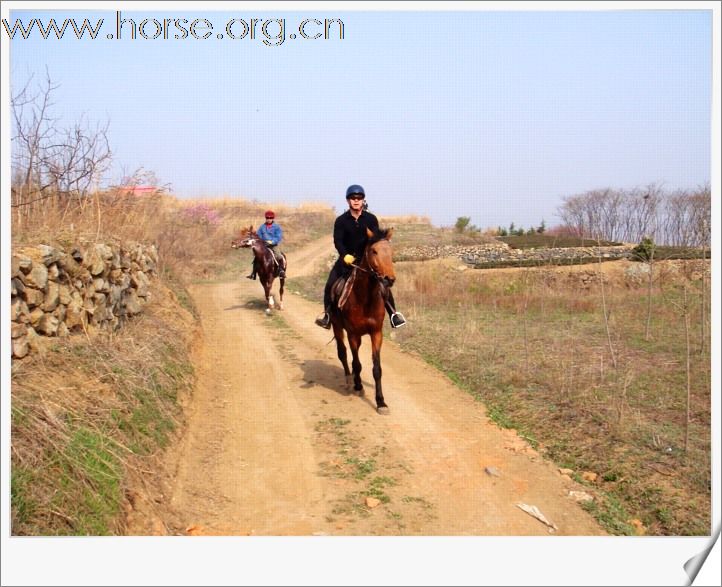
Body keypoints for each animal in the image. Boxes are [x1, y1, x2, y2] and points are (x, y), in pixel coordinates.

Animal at [330, 227, 396, 416]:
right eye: (374, 251)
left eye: (391, 252)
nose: (389, 279)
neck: (365, 298)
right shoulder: (352, 334)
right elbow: (357, 363)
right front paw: (358, 386)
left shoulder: (376, 333)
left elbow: (377, 369)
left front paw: (381, 402)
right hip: (338, 327)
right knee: (343, 354)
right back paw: (349, 379)